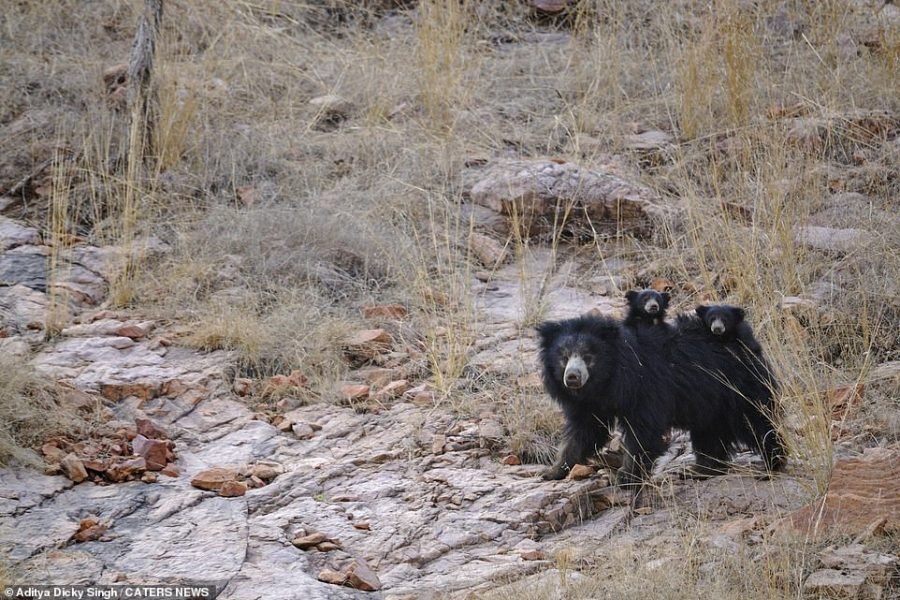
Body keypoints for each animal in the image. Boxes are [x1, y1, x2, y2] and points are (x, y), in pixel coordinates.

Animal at [536, 312, 784, 486]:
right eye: (563, 357)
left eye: (588, 356)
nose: (572, 377)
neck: (607, 381)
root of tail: (746, 339)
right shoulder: (589, 404)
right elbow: (585, 431)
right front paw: (551, 472)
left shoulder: (645, 386)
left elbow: (642, 431)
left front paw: (625, 476)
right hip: (709, 401)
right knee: (709, 434)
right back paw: (699, 470)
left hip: (737, 386)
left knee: (756, 421)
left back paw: (772, 464)